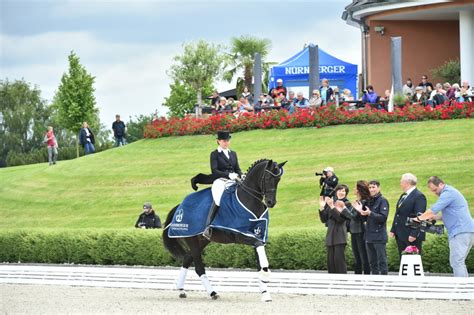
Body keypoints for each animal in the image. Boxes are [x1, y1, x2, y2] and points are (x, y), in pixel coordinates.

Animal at [163, 159, 286, 302]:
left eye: (278, 179)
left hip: (203, 240)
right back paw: (212, 293)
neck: (249, 200)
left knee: (187, 258)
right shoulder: (240, 235)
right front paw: (266, 275)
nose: (271, 202)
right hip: (191, 239)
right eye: (267, 178)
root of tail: (179, 206)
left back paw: (181, 290)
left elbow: (259, 259)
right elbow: (259, 248)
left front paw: (265, 292)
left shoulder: (258, 235)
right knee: (199, 267)